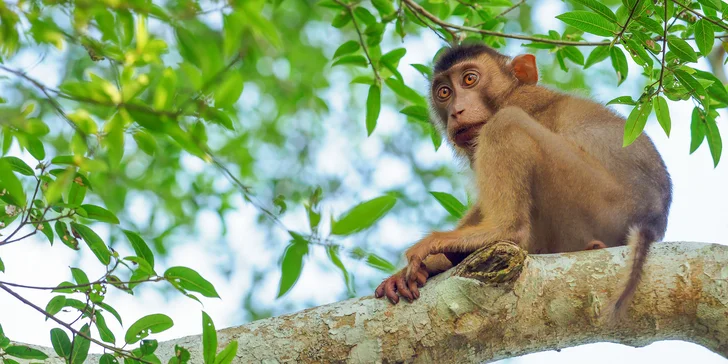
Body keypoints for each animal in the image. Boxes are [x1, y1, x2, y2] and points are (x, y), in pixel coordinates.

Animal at [372, 43, 672, 322]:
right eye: (444, 92)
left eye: (469, 79)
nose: (457, 110)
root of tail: (652, 222)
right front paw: (410, 273)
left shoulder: (521, 103)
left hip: (597, 201)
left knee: (505, 124)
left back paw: (500, 231)